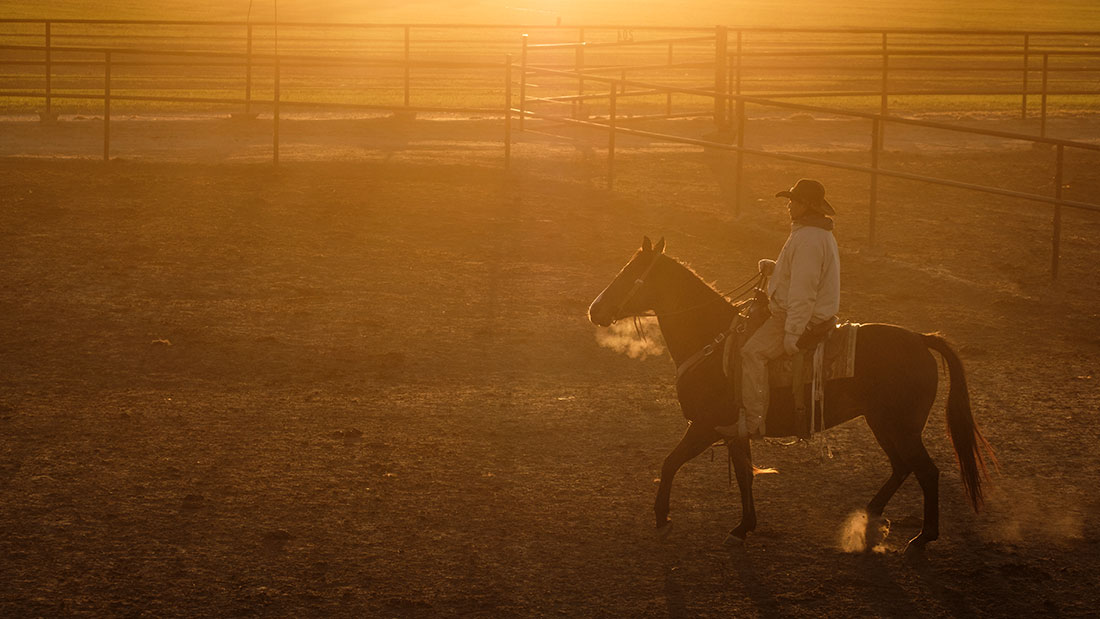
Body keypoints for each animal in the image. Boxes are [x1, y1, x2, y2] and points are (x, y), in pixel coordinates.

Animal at [589, 237, 994, 551]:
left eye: (629, 273)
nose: (595, 310)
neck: (712, 341)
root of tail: (920, 339)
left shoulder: (704, 427)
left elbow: (670, 463)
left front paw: (662, 519)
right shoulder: (733, 431)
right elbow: (744, 475)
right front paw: (743, 528)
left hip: (900, 427)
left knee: (926, 471)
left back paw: (922, 537)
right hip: (882, 424)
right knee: (902, 467)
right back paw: (868, 519)